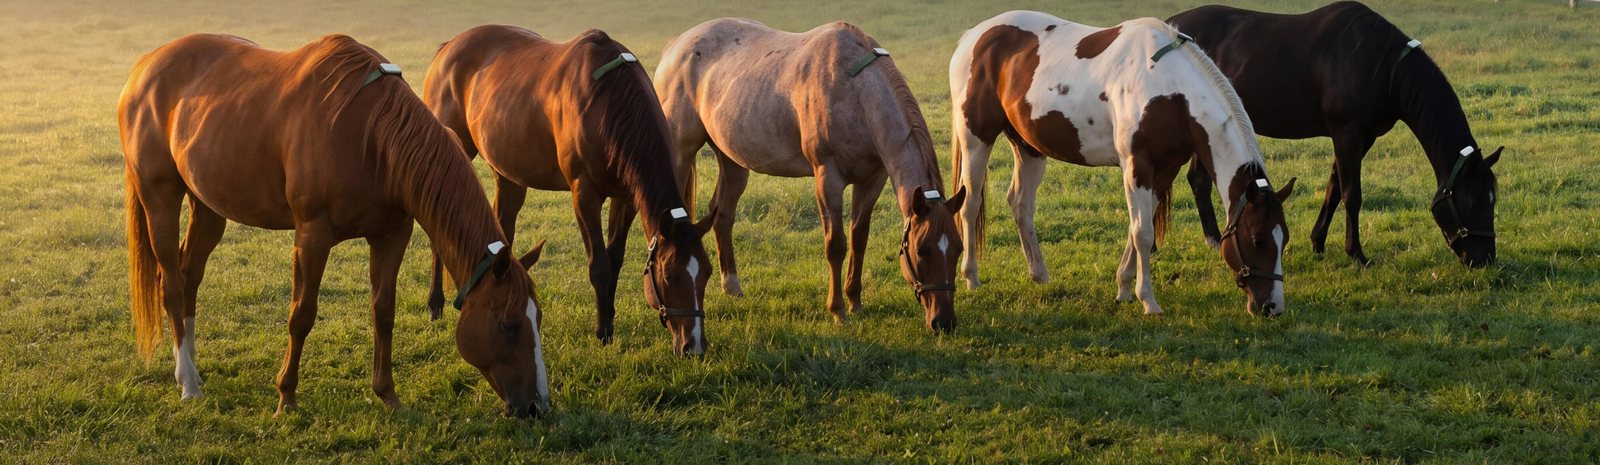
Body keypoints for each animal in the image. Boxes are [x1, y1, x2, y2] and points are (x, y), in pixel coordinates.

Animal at [119, 33, 550, 417]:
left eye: (538, 318)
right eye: (510, 323)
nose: (537, 406)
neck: (370, 135)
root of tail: (144, 68)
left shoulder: (391, 236)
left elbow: (384, 312)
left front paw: (387, 394)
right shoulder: (313, 237)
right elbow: (302, 315)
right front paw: (286, 398)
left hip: (208, 206)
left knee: (190, 277)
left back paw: (190, 370)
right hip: (160, 198)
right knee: (172, 284)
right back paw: (188, 383)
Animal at [423, 25, 715, 356]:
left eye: (707, 272)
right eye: (669, 275)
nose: (694, 346)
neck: (607, 101)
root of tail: (448, 48)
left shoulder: (625, 196)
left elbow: (614, 260)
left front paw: (609, 319)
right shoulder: (583, 193)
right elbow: (599, 266)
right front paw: (603, 332)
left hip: (508, 174)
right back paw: (435, 303)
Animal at [655, 18, 967, 332]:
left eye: (958, 249)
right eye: (922, 250)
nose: (944, 321)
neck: (855, 91)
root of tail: (675, 46)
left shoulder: (872, 180)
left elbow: (859, 240)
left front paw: (855, 302)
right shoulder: (828, 178)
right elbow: (836, 245)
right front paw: (838, 310)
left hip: (733, 161)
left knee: (723, 216)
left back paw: (732, 286)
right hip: (681, 151)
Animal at [950, 11, 1297, 316]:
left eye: (1284, 238)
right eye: (1257, 239)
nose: (1273, 307)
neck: (1169, 90)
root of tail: (972, 37)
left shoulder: (1164, 171)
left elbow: (1137, 229)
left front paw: (1125, 289)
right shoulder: (1137, 167)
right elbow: (1143, 233)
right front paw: (1149, 301)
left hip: (1030, 148)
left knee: (1021, 204)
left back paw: (1039, 274)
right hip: (976, 139)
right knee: (970, 205)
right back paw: (971, 277)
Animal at [1169, 1, 1501, 267]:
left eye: (1493, 200)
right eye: (1474, 203)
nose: (1483, 260)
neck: (1384, 66)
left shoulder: (1363, 137)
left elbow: (1334, 187)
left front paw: (1318, 242)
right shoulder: (1348, 134)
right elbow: (1352, 194)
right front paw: (1357, 254)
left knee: (1198, 179)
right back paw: (1214, 240)